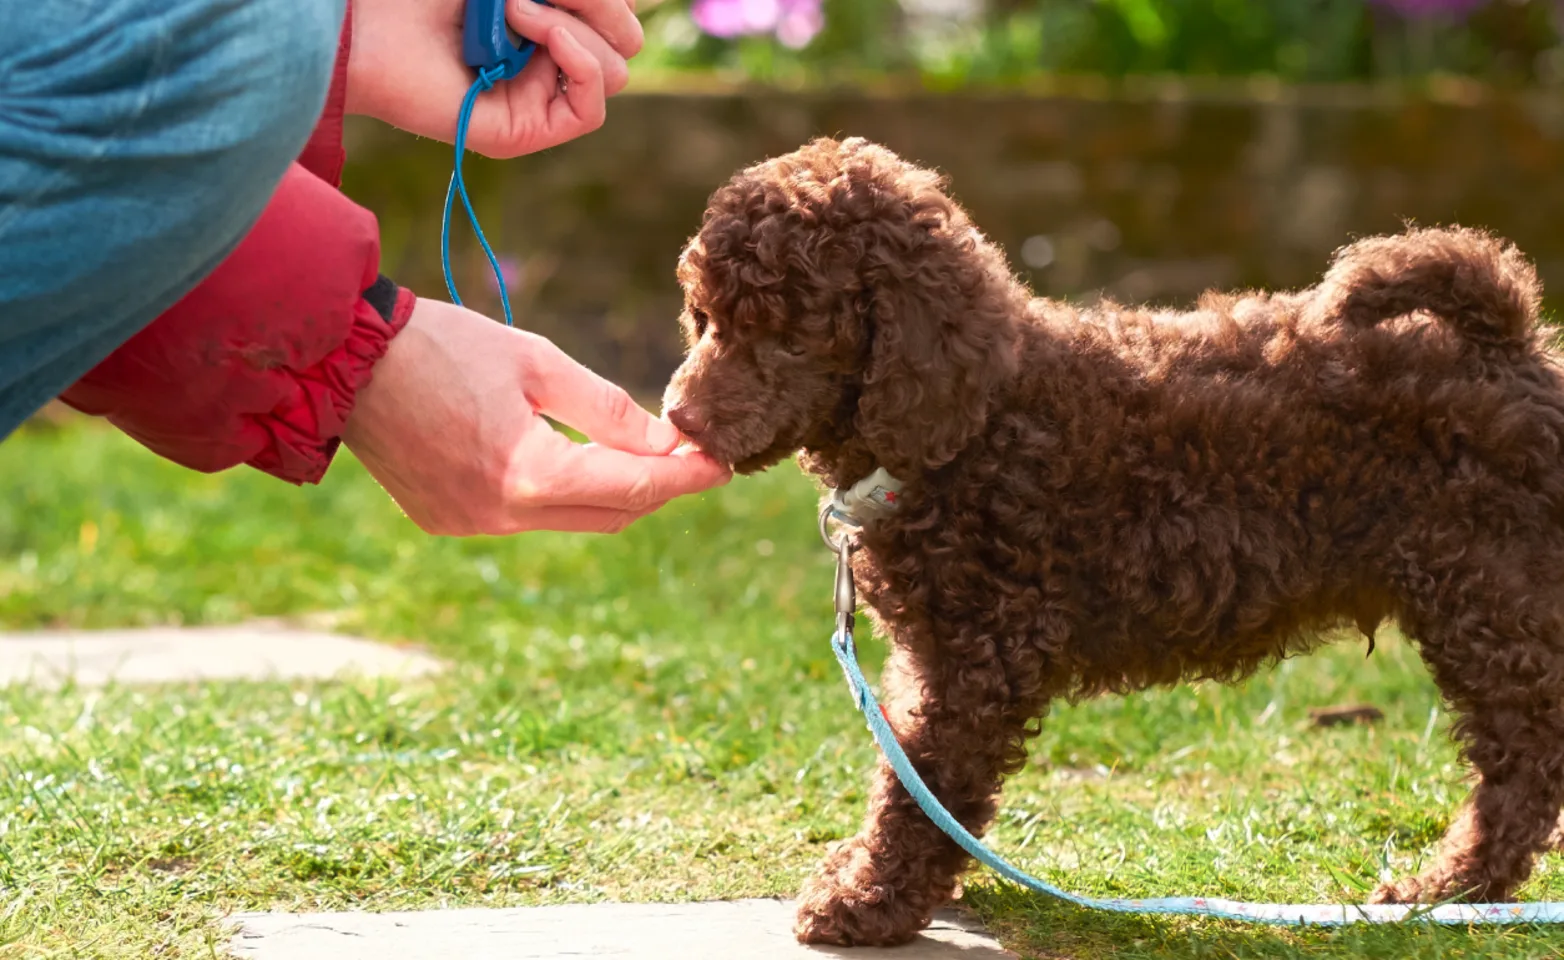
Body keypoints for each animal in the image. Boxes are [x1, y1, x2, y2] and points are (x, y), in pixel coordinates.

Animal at [666, 133, 1564, 950]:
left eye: (789, 336)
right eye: (704, 319)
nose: (678, 417)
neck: (979, 420)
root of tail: (1510, 345)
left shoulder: (976, 656)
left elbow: (920, 783)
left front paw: (867, 900)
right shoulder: (936, 655)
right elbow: (915, 776)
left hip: (1493, 597)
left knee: (1527, 763)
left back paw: (1449, 888)